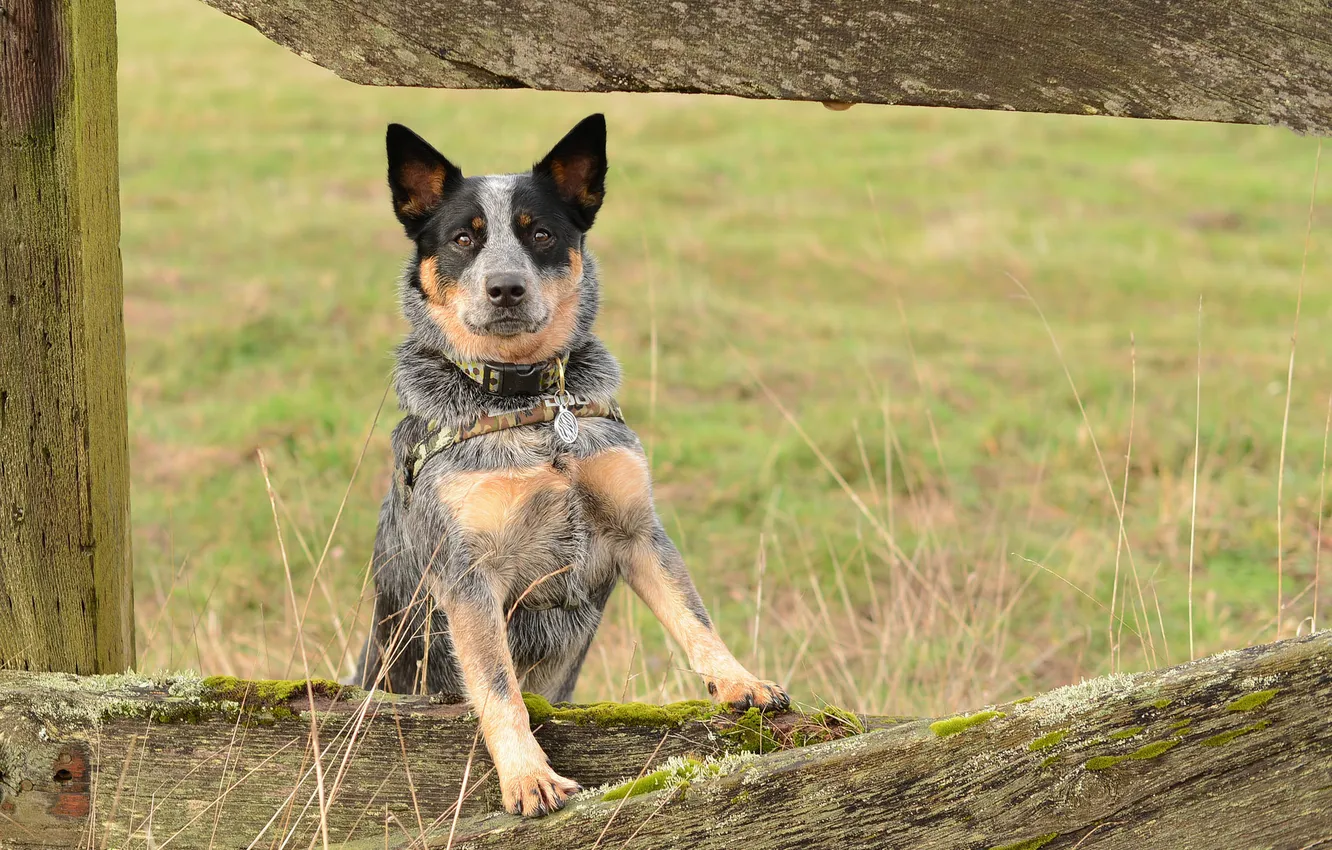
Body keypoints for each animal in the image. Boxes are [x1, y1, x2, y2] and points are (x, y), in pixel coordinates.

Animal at [356, 114, 788, 820]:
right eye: (464, 238)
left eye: (541, 234)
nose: (506, 288)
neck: (532, 402)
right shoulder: (468, 573)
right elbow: (499, 688)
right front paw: (528, 777)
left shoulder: (637, 530)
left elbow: (693, 615)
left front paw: (740, 682)